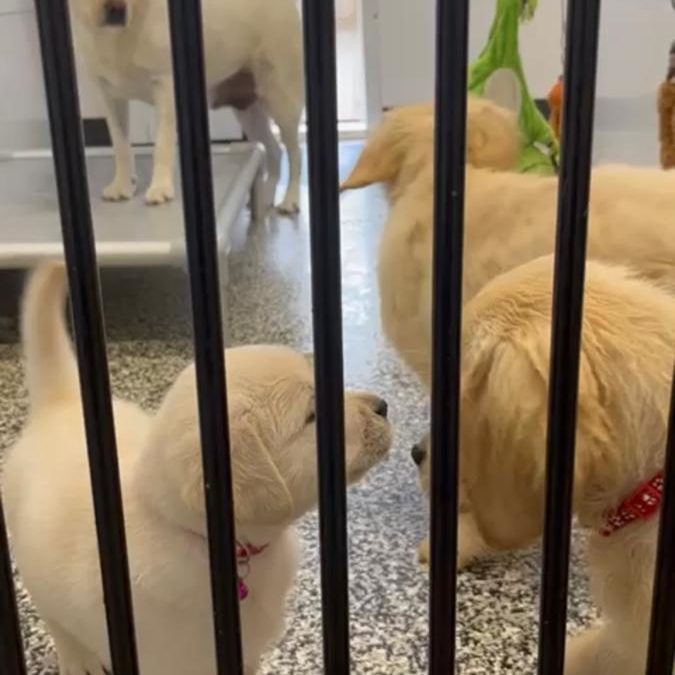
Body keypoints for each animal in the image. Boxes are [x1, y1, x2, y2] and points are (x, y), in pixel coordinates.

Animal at [1, 262, 390, 675]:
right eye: (312, 416)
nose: (383, 405)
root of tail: (61, 402)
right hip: (34, 571)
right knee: (57, 621)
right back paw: (80, 660)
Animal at [69, 0, 304, 213]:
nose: (116, 8)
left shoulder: (165, 87)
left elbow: (162, 145)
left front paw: (160, 188)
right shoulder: (109, 97)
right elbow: (121, 146)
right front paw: (122, 185)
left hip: (283, 104)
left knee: (295, 154)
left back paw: (290, 200)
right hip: (249, 113)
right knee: (275, 151)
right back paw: (266, 197)